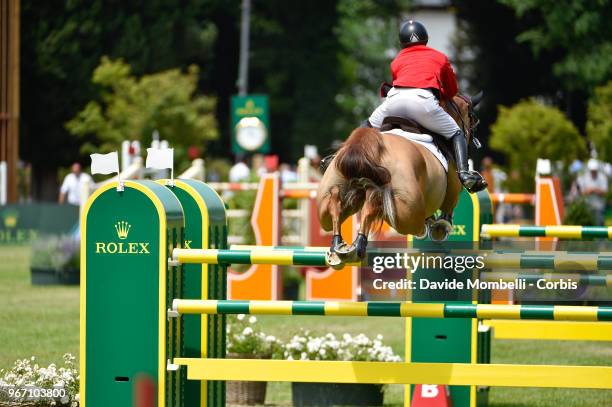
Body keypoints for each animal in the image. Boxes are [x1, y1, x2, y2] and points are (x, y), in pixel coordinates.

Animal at [316, 92, 482, 266]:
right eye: (471, 117)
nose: (473, 140)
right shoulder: (453, 187)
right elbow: (447, 211)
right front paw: (440, 227)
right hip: (407, 216)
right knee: (376, 206)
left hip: (327, 204)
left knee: (335, 208)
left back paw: (339, 243)